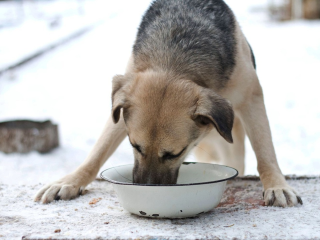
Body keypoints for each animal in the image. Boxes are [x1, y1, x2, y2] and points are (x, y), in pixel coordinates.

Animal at [35, 0, 302, 206]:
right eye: (135, 146)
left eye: (175, 153)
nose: (145, 188)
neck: (174, 59)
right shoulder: (121, 109)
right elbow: (97, 153)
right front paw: (70, 181)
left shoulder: (252, 97)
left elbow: (265, 153)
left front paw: (276, 185)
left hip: (232, 141)